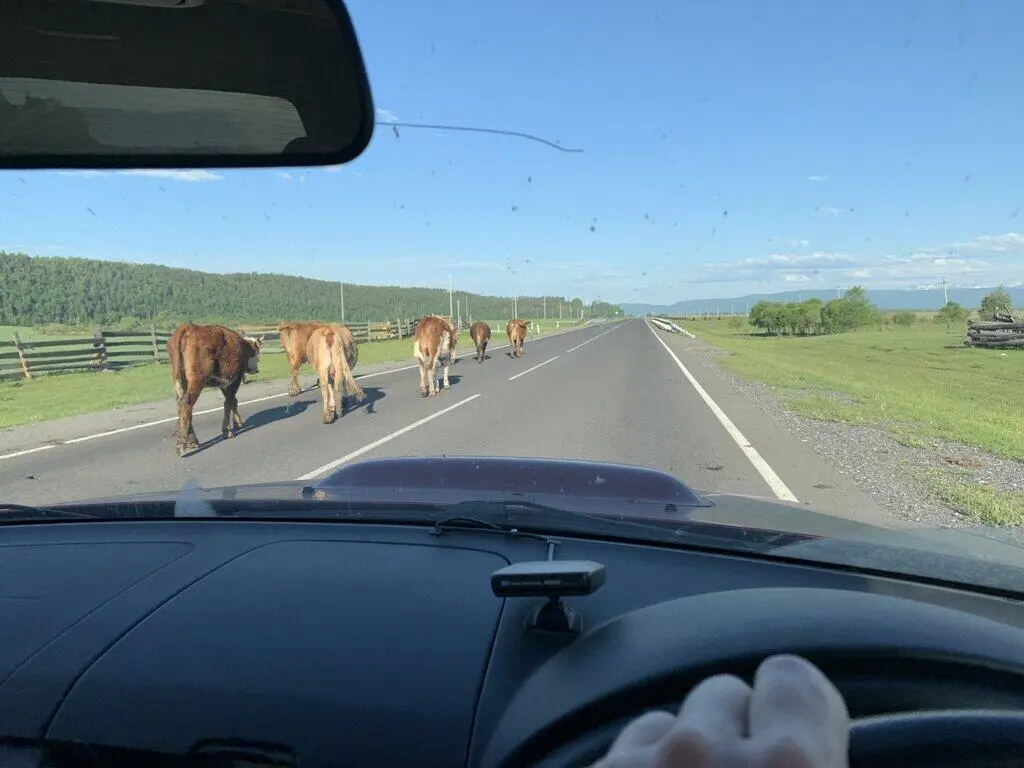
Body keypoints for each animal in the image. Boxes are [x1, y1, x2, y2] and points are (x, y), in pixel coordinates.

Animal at [167, 323, 264, 456]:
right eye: (257, 353)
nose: (256, 370)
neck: (242, 346)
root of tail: (189, 327)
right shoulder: (235, 378)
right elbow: (229, 402)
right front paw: (227, 431)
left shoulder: (224, 383)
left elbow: (232, 401)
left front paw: (237, 423)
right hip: (197, 379)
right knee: (187, 404)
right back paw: (181, 444)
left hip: (180, 380)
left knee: (180, 405)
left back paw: (192, 440)